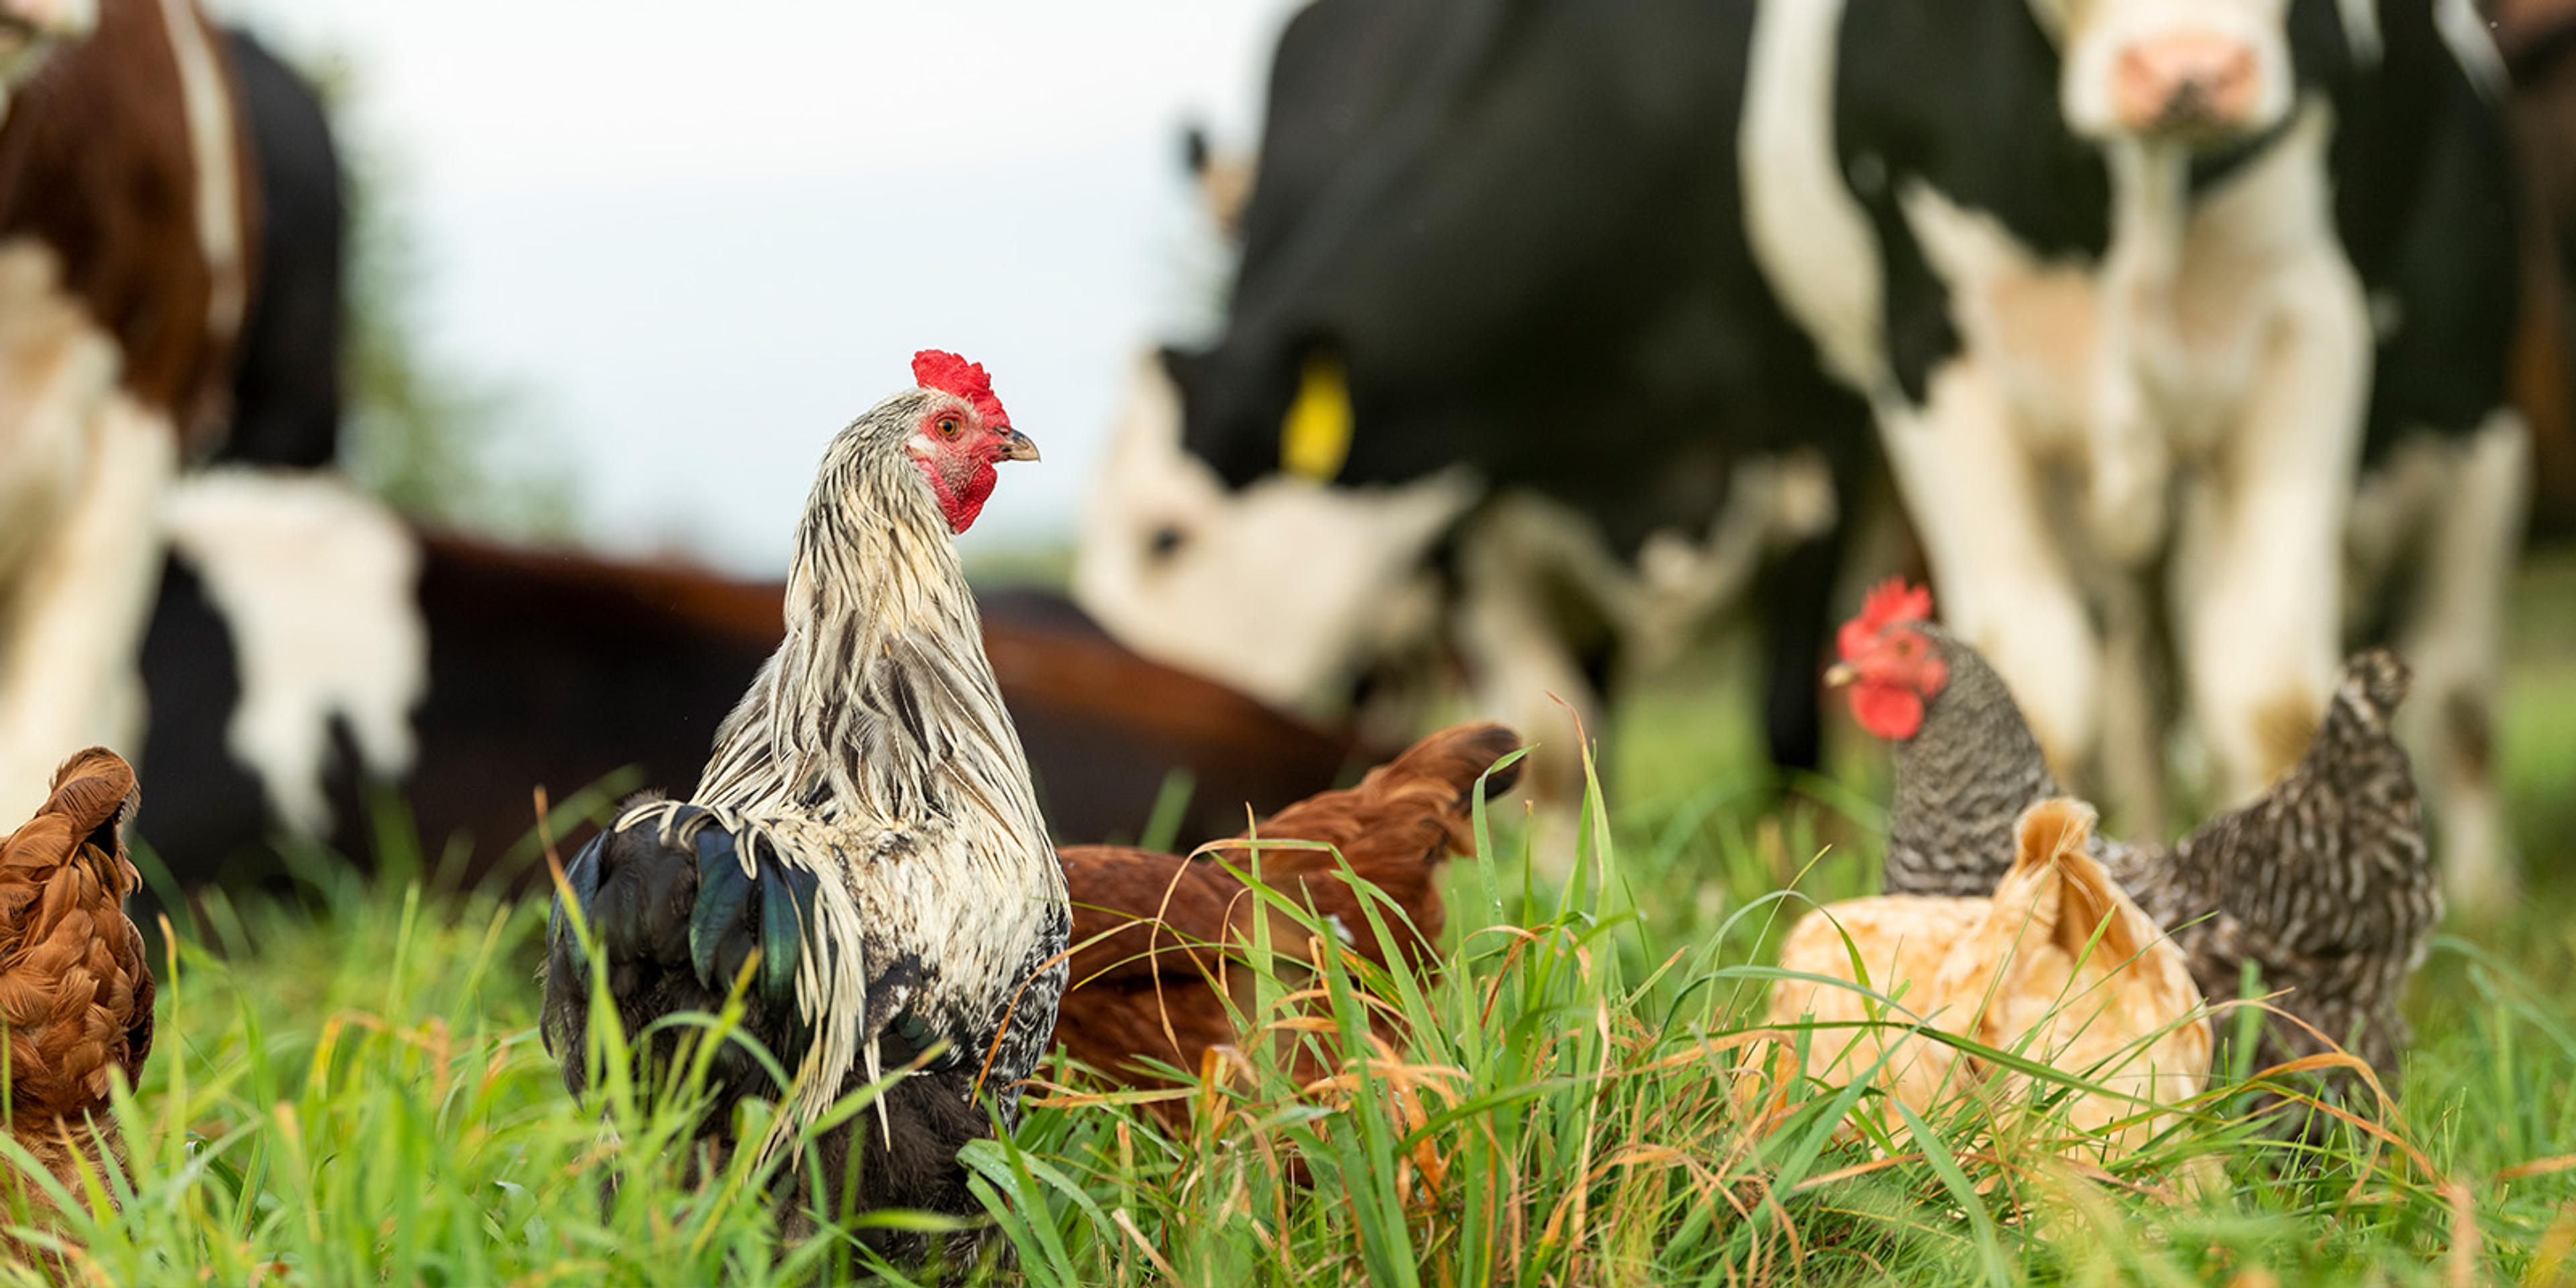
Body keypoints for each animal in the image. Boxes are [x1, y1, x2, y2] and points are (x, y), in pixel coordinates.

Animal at [1741, 0, 2524, 906]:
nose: (2191, 69)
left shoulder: (2311, 325)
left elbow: (2267, 683)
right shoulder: (1934, 352)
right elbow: (2036, 670)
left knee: (2455, 693)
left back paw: (2486, 897)